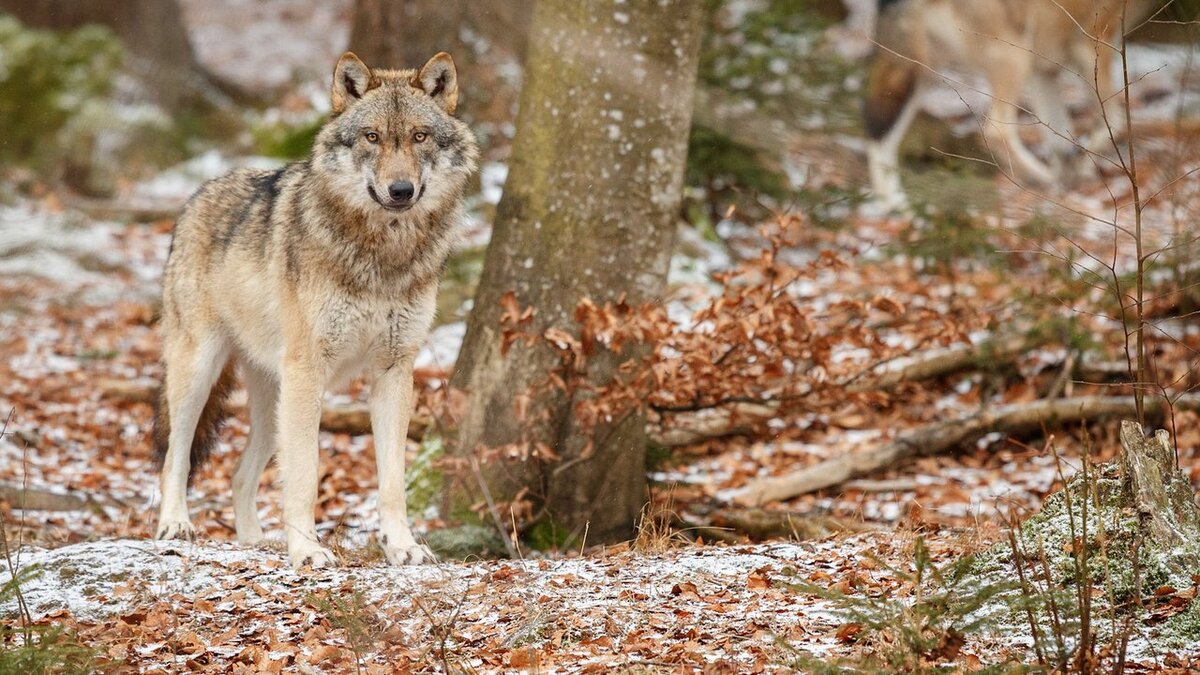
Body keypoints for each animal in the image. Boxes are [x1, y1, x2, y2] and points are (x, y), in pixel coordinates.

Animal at [152, 51, 480, 566]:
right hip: (201, 375)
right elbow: (306, 474)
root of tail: (198, 195)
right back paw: (175, 525)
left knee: (239, 475)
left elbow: (392, 482)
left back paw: (255, 541)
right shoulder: (309, 371)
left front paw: (402, 547)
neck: (383, 256)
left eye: (419, 137)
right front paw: (307, 551)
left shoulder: (395, 371)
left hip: (273, 404)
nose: (401, 190)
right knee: (175, 457)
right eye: (372, 137)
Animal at [864, 0, 1161, 208]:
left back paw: (895, 207)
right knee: (996, 130)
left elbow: (1060, 141)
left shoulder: (1044, 71)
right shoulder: (1094, 46)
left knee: (878, 133)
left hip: (920, 74)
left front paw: (1070, 180)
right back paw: (1041, 177)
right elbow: (1115, 122)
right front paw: (1079, 171)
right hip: (1012, 57)